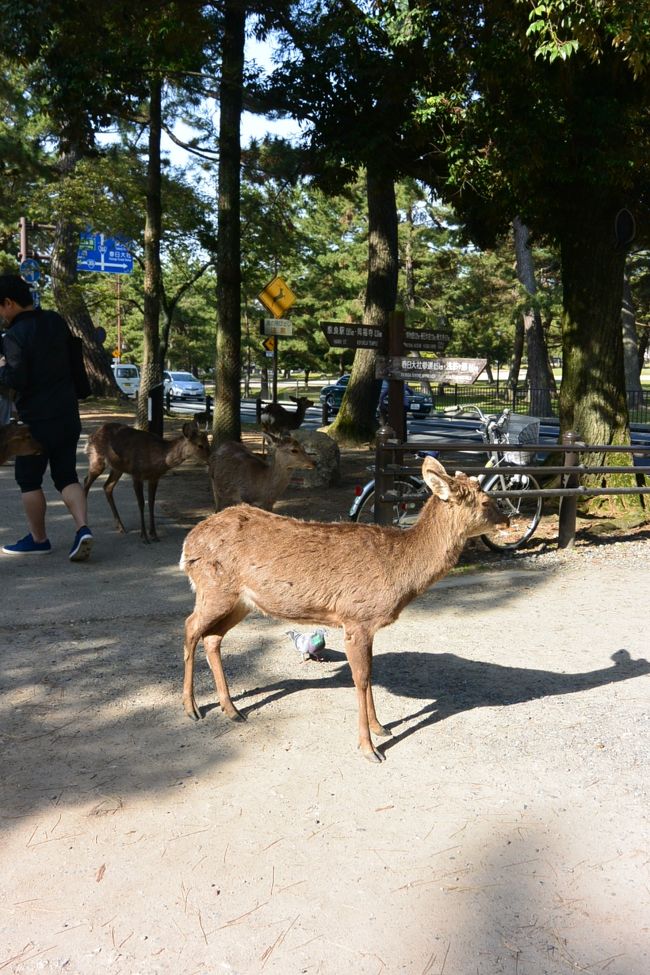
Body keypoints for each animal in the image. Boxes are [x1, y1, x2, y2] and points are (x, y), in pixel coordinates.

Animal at [180, 455, 509, 763]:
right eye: (486, 501)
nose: (509, 519)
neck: (400, 571)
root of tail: (187, 544)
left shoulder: (368, 625)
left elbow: (370, 673)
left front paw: (381, 728)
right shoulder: (355, 618)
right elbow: (360, 679)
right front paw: (369, 748)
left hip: (241, 601)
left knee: (212, 637)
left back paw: (232, 709)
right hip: (214, 589)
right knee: (190, 627)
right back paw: (191, 708)